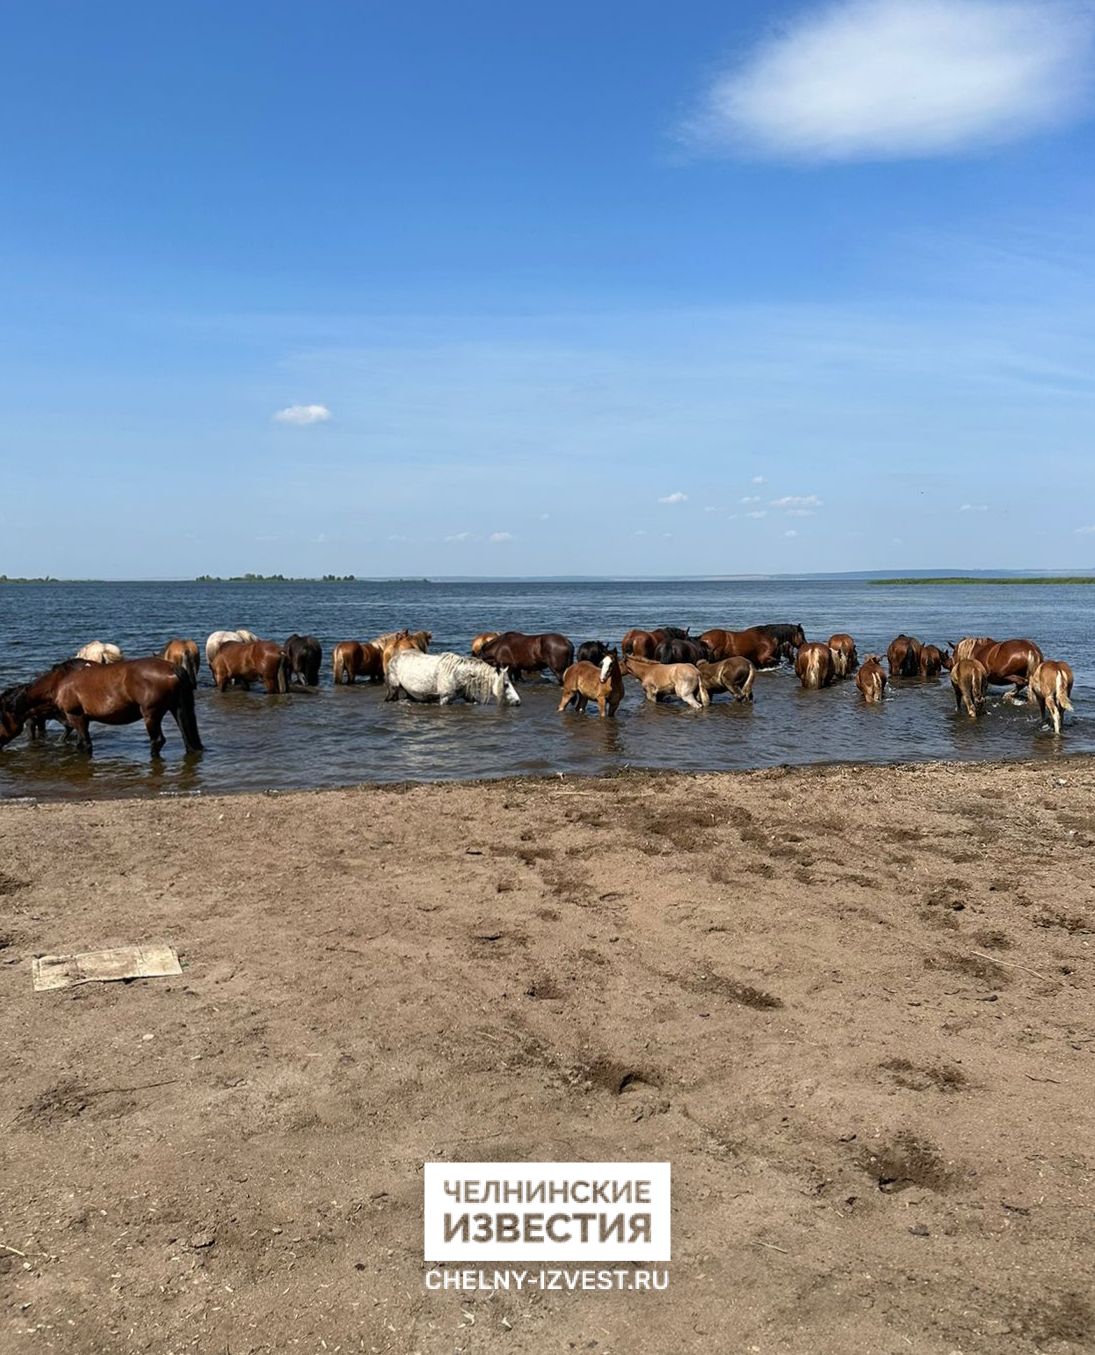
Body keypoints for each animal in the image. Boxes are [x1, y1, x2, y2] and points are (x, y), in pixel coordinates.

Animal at [0, 658, 203, 758]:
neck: (60, 682)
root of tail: (172, 668)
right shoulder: (75, 719)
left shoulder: (77, 717)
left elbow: (84, 745)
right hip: (177, 709)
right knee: (188, 739)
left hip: (151, 714)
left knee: (157, 740)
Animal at [387, 647, 520, 704]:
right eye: (506, 684)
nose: (518, 701)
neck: (457, 674)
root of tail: (393, 658)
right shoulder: (444, 699)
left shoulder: (468, 697)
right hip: (394, 689)